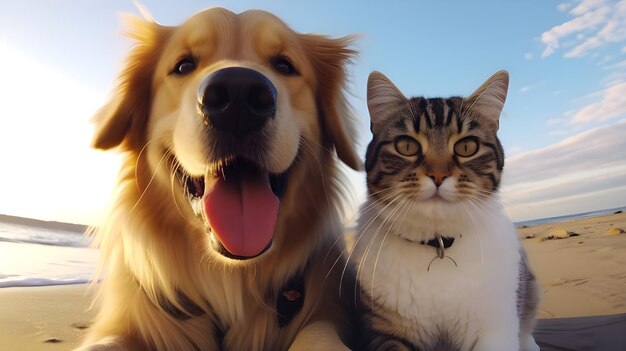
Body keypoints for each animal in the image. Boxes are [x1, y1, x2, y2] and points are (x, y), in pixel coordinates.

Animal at [78, 8, 360, 351]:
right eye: (183, 65)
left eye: (284, 65)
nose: (239, 94)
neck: (232, 276)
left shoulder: (325, 311)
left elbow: (318, 335)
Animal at [348, 70, 540, 350]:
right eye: (406, 146)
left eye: (467, 147)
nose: (438, 175)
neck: (437, 244)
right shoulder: (386, 331)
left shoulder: (494, 327)